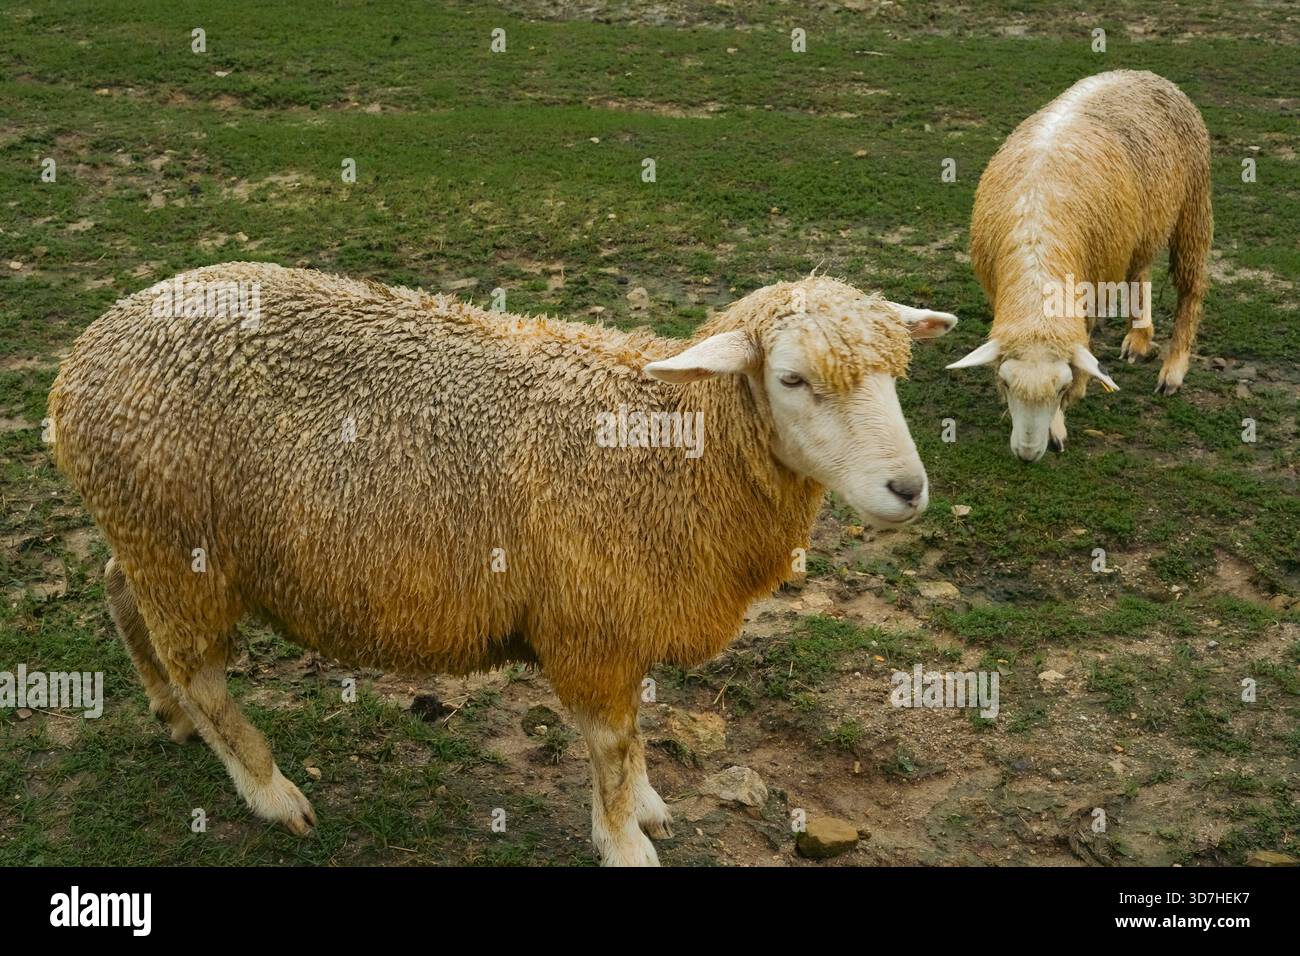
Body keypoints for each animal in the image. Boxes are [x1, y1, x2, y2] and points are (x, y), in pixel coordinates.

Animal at [47, 261, 957, 866]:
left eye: (895, 374)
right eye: (793, 379)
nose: (908, 489)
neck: (671, 447)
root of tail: (82, 355)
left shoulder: (622, 620)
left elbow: (634, 735)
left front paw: (644, 804)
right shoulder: (591, 627)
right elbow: (611, 744)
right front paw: (623, 839)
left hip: (152, 540)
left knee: (118, 592)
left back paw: (167, 712)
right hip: (178, 549)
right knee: (201, 672)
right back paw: (271, 791)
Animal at [947, 70, 1212, 461]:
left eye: (1061, 389)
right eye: (1006, 385)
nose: (1027, 455)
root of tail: (1142, 73)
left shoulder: (1090, 289)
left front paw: (1060, 422)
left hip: (1194, 203)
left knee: (1191, 288)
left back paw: (1174, 369)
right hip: (1137, 229)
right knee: (1141, 271)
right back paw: (1139, 337)